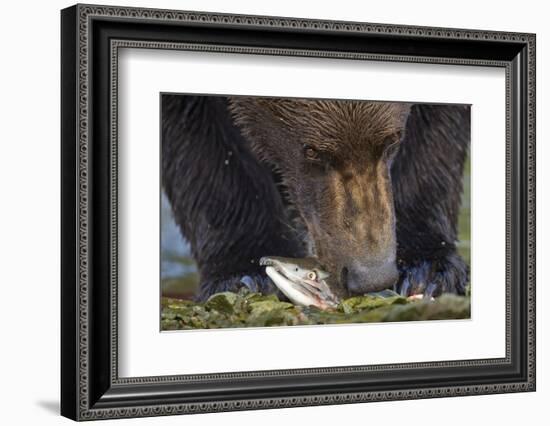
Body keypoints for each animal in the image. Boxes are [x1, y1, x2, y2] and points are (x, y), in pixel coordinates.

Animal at [162, 94, 472, 300]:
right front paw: (245, 276)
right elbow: (201, 150)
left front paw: (427, 270)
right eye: (311, 151)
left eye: (393, 139)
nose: (371, 276)